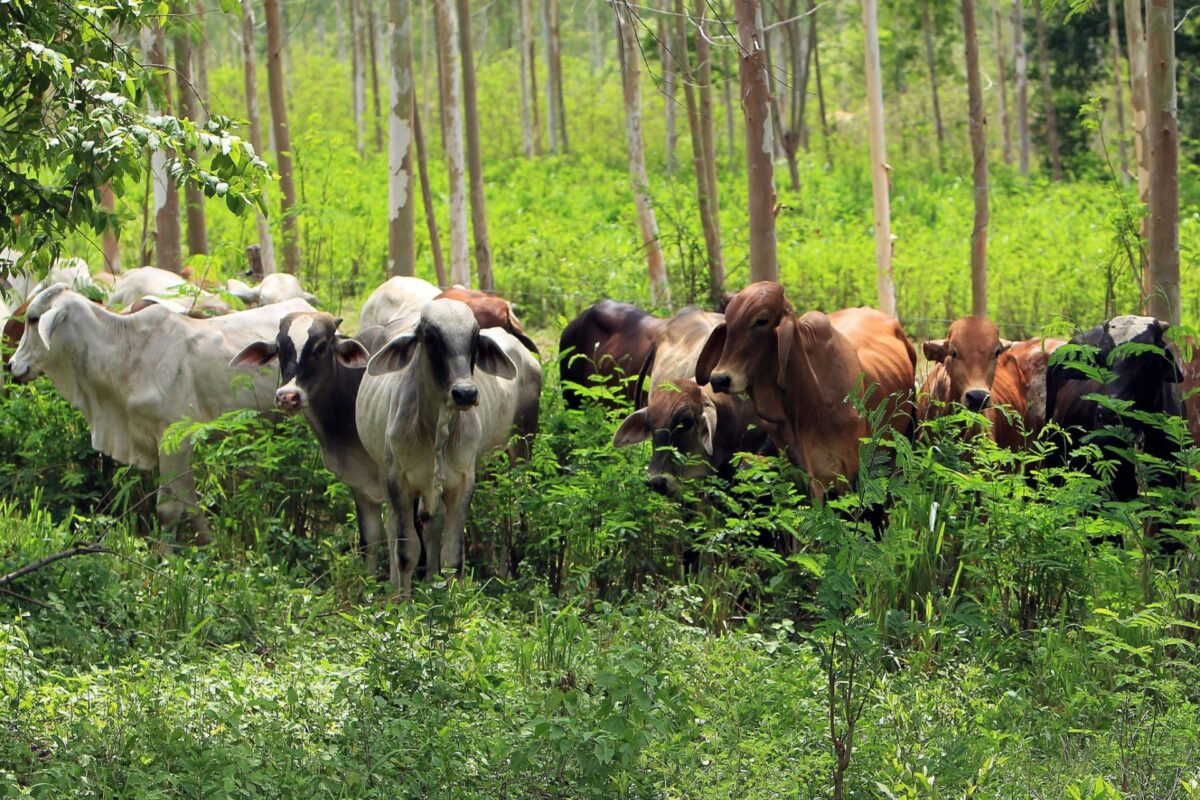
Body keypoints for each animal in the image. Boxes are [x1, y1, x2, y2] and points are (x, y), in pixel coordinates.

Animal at [9, 284, 316, 542]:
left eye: (33, 319)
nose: (12, 365)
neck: (125, 352)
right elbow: (189, 503)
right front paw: (209, 544)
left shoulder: (175, 441)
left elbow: (169, 509)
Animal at [350, 298, 540, 594]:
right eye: (430, 338)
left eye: (474, 337)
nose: (465, 393)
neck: (435, 427)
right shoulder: (398, 481)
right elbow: (406, 553)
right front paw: (403, 602)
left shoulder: (462, 482)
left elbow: (452, 556)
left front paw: (453, 600)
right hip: (387, 472)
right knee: (395, 528)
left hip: (520, 450)